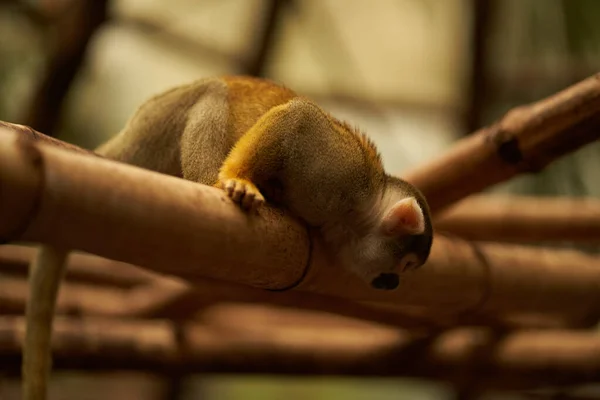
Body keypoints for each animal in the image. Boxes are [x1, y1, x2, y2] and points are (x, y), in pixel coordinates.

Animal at [22, 76, 432, 400]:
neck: (359, 210)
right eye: (404, 264)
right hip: (155, 126)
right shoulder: (342, 173)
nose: (392, 282)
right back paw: (211, 181)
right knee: (214, 93)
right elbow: (297, 120)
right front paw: (235, 178)